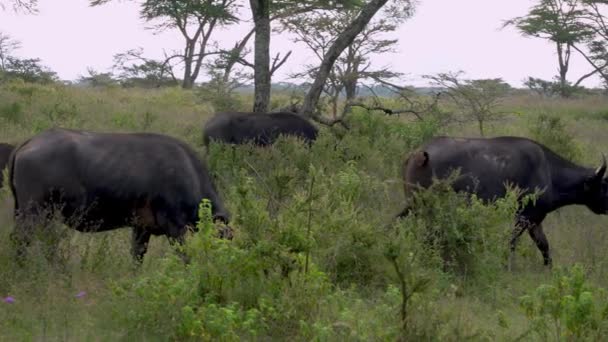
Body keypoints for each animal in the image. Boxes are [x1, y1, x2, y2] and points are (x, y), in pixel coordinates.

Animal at [8, 128, 232, 262]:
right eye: (222, 243)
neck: (188, 173)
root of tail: (30, 142)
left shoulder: (141, 228)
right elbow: (184, 257)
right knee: (22, 241)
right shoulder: (174, 228)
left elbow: (137, 256)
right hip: (33, 213)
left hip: (33, 213)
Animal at [396, 135, 608, 268]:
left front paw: (550, 269)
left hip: (414, 205)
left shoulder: (535, 220)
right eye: (604, 186)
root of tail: (418, 153)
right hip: (423, 205)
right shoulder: (524, 217)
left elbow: (544, 246)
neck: (548, 170)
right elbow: (512, 243)